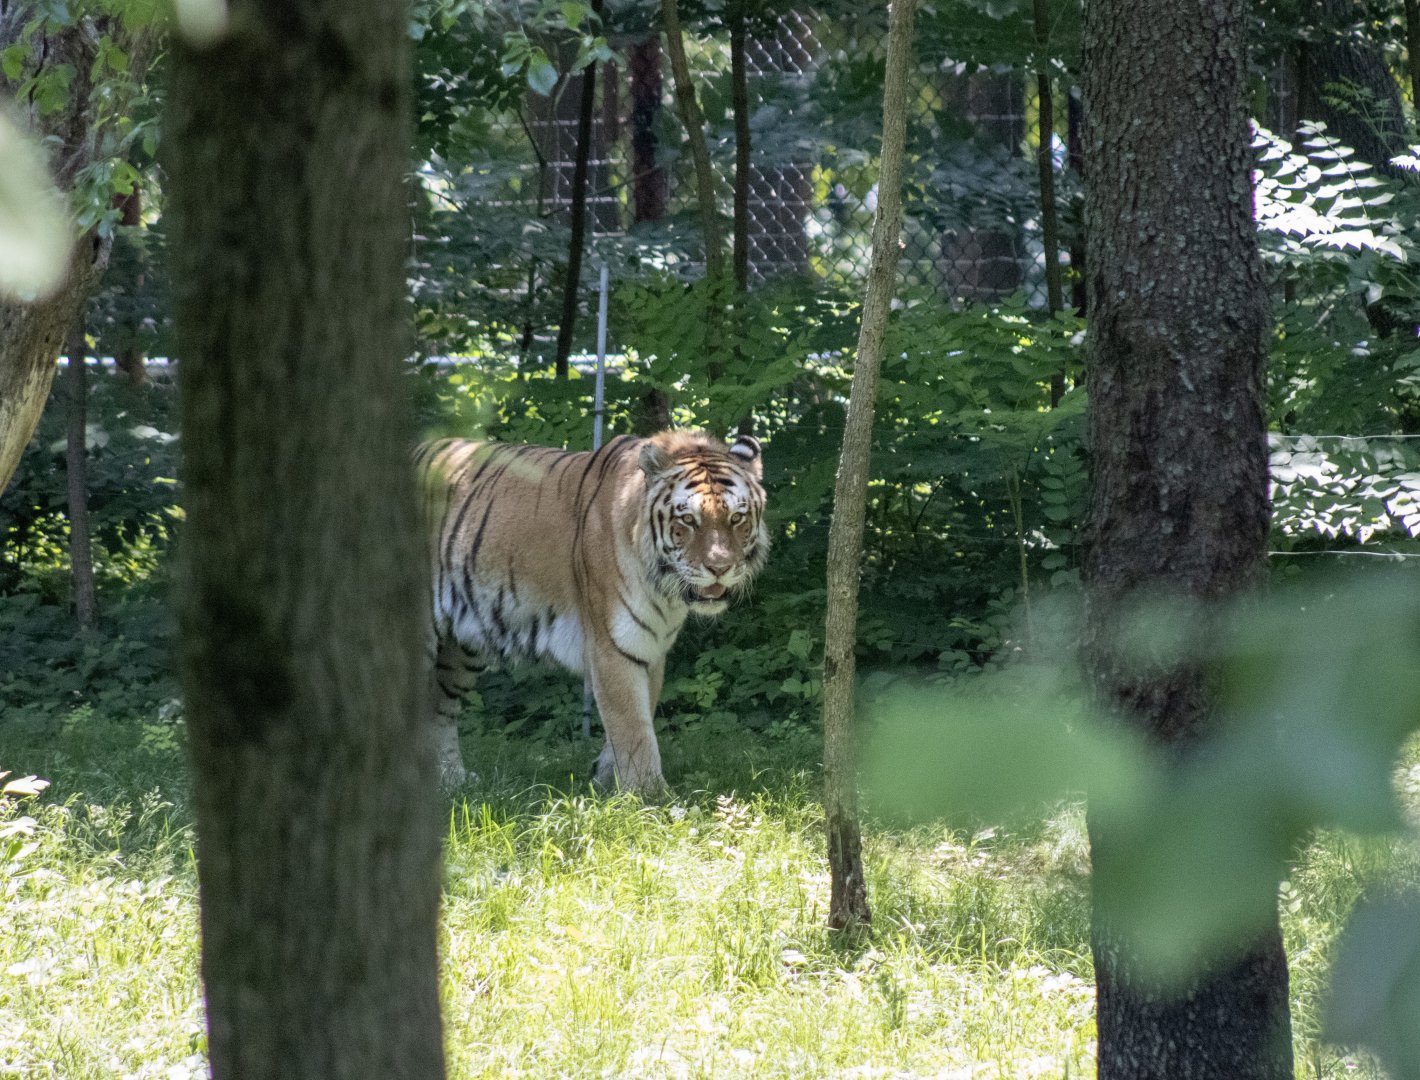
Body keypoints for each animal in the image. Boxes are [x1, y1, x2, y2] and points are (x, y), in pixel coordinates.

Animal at [414, 429, 768, 793]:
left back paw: (451, 780)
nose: (720, 568)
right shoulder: (614, 645)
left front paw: (608, 780)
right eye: (688, 520)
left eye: (736, 518)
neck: (665, 591)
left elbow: (638, 716)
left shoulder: (652, 649)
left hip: (461, 648)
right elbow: (632, 726)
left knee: (438, 708)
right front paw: (651, 794)